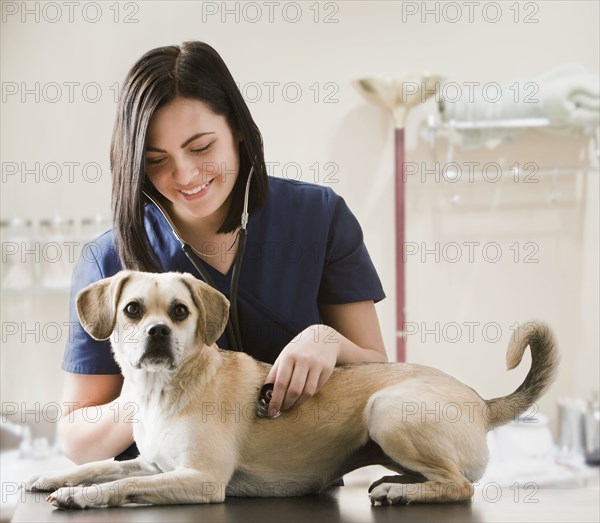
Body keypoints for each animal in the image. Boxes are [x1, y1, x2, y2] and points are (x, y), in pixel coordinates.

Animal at [23, 270, 556, 508]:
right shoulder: (154, 464)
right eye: (132, 310)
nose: (157, 332)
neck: (164, 392)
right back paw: (398, 483)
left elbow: (122, 485)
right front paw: (55, 477)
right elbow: (98, 466)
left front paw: (83, 498)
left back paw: (404, 493)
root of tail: (481, 402)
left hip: (387, 410)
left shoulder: (201, 479)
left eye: (179, 311)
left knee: (461, 485)